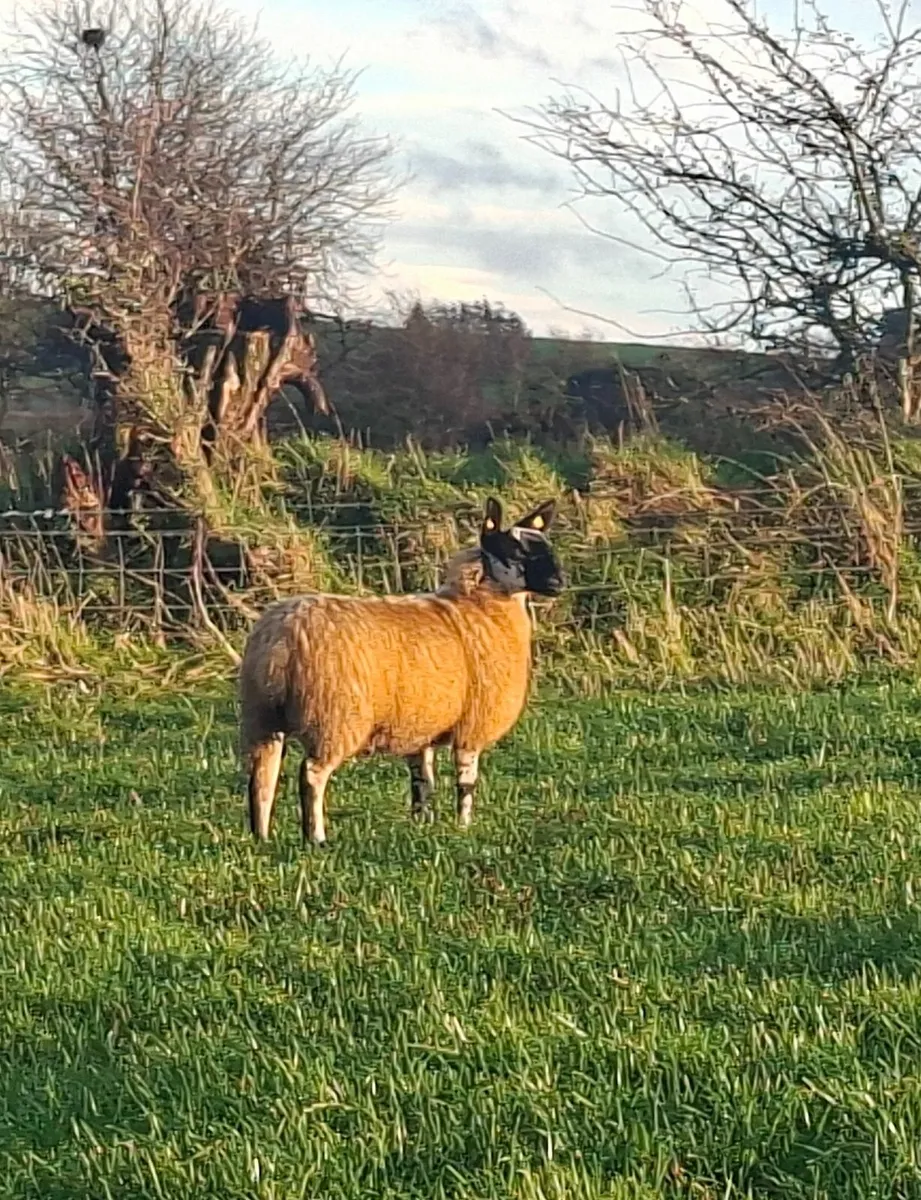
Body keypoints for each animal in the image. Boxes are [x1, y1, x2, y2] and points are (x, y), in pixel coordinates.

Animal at [239, 496, 564, 845]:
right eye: (514, 551)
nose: (559, 583)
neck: (480, 607)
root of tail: (282, 638)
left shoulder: (420, 726)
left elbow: (422, 782)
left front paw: (422, 824)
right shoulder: (472, 725)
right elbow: (466, 782)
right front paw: (463, 826)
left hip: (262, 716)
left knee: (262, 776)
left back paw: (261, 836)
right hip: (332, 717)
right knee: (311, 775)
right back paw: (316, 838)